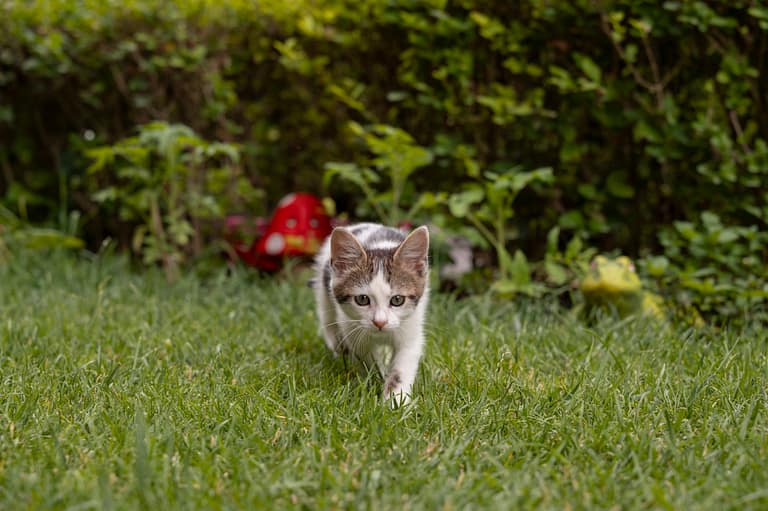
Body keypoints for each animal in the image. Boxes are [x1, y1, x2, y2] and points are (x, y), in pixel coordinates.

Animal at [314, 223, 432, 404]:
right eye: (362, 299)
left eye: (397, 299)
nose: (380, 322)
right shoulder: (352, 329)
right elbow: (365, 355)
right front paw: (377, 376)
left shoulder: (411, 328)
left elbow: (402, 365)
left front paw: (395, 400)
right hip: (324, 288)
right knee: (327, 319)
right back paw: (337, 345)